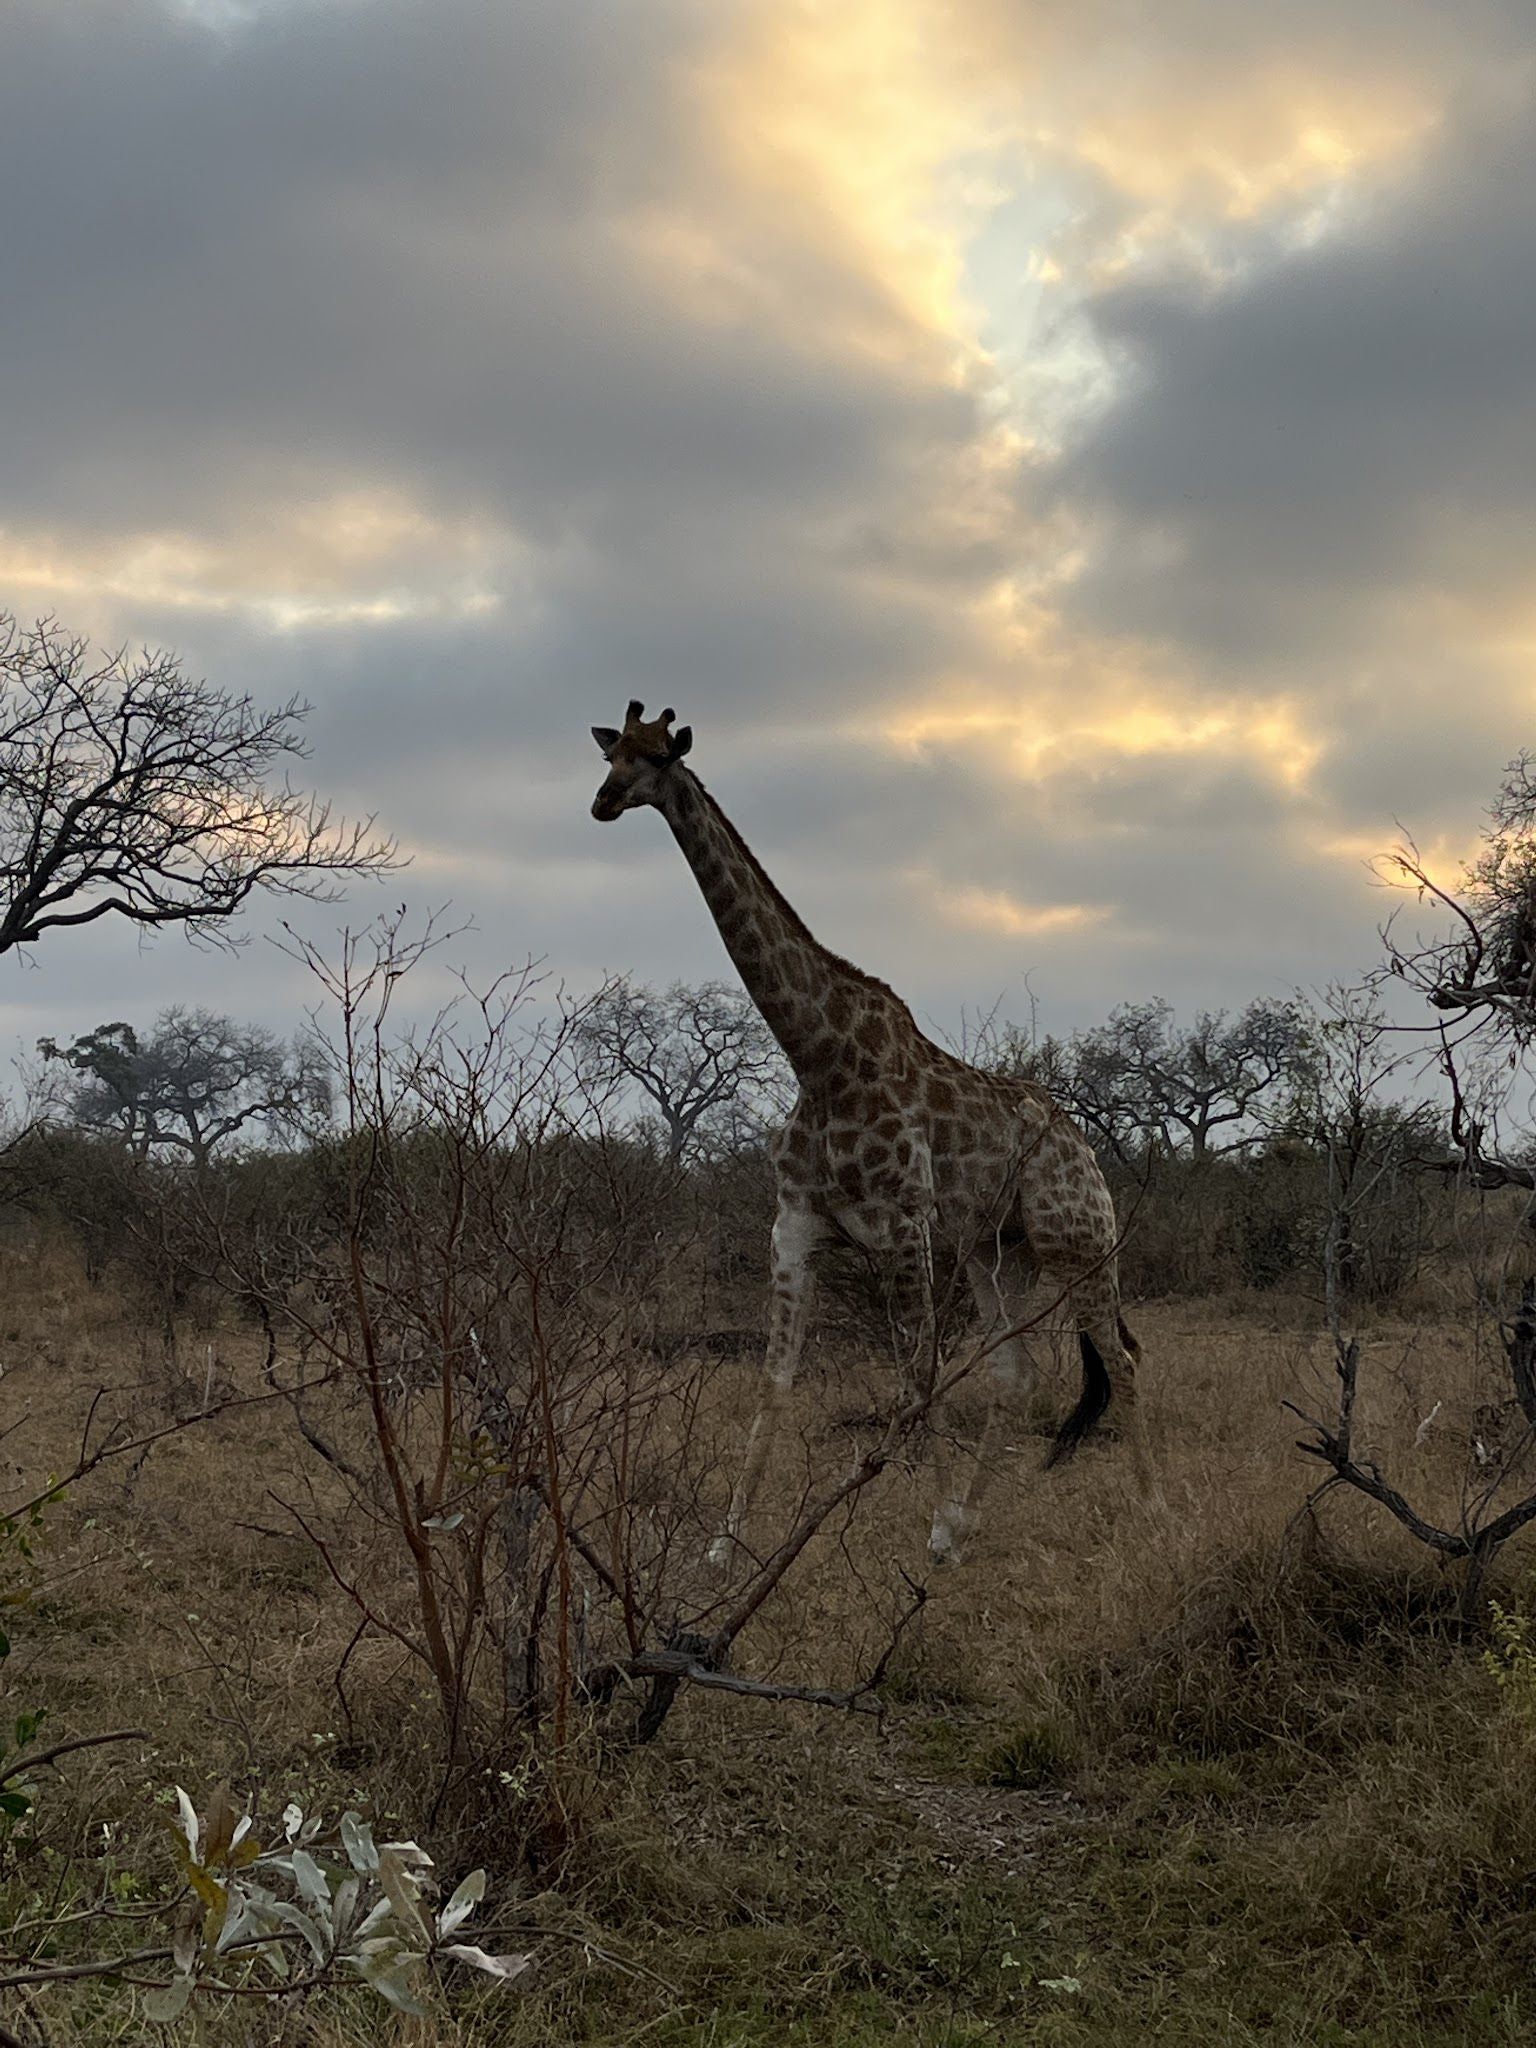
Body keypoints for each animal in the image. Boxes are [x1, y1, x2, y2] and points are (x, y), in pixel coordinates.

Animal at [589, 704, 1146, 1564]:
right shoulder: (793, 1225)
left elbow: (916, 1373)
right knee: (1019, 1372)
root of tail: (1083, 1146)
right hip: (997, 1252)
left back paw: (1159, 1517)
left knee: (1121, 1357)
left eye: (655, 757)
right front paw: (723, 1547)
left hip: (1076, 1240)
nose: (604, 802)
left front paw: (926, 1518)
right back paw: (969, 1526)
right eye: (609, 751)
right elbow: (776, 1383)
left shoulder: (901, 1223)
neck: (819, 1057)